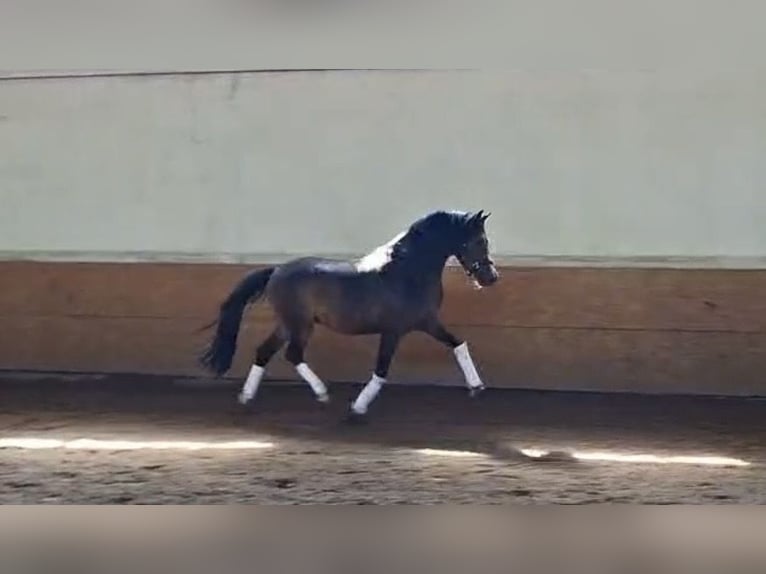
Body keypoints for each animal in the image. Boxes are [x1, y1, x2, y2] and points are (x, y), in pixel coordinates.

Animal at [198, 209, 499, 422]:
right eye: (478, 240)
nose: (491, 278)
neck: (407, 272)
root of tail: (276, 271)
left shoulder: (428, 322)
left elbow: (458, 343)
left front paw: (476, 387)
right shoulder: (394, 331)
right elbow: (381, 370)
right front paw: (357, 408)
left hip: (287, 324)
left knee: (264, 352)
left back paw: (247, 397)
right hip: (300, 325)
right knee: (292, 354)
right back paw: (322, 393)